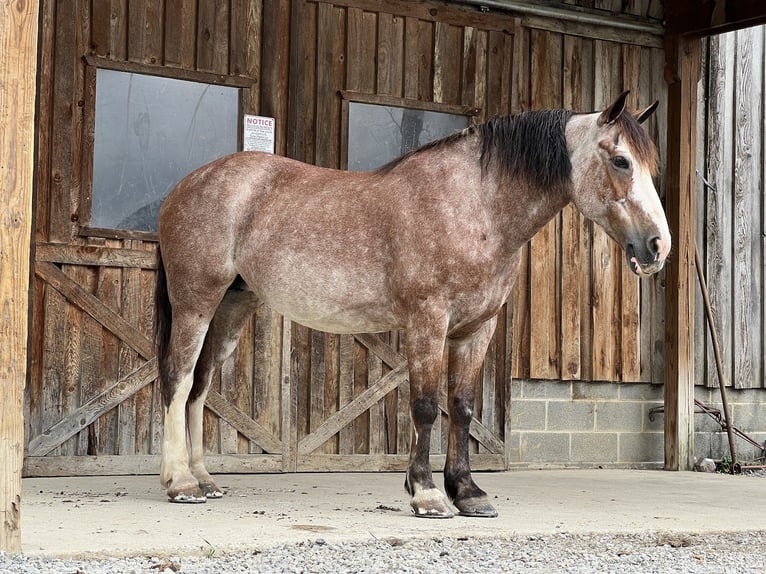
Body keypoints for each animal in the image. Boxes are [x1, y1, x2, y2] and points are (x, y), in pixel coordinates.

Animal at [156, 91, 672, 520]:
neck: (474, 206)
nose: (657, 247)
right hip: (196, 302)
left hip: (231, 308)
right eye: (621, 161)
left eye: (652, 168)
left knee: (200, 385)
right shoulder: (428, 321)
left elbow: (461, 407)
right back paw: (180, 483)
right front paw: (426, 493)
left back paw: (204, 479)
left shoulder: (477, 328)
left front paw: (468, 493)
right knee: (178, 379)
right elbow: (425, 406)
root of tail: (187, 184)